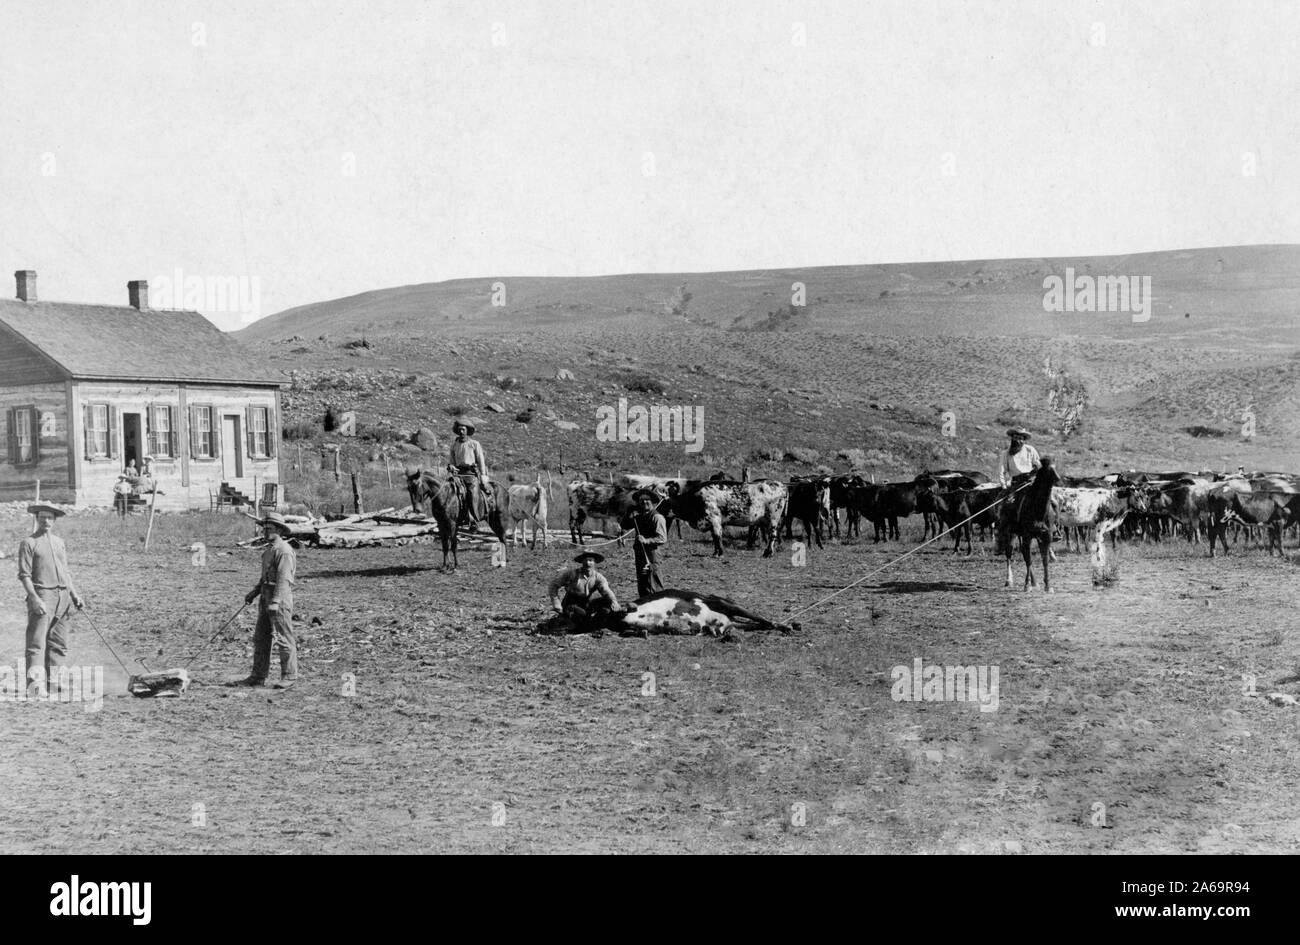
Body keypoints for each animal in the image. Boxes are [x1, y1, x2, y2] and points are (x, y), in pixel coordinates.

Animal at [998, 460, 1060, 592]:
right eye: (1048, 469)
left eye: (1055, 466)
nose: (1058, 478)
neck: (1038, 511)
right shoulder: (1027, 536)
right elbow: (1029, 560)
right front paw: (1026, 585)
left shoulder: (1046, 537)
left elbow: (1044, 560)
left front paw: (1048, 586)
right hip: (1010, 534)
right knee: (1009, 553)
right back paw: (1009, 580)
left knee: (1025, 553)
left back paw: (1034, 582)